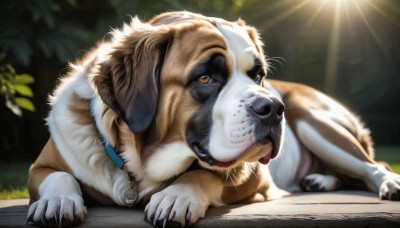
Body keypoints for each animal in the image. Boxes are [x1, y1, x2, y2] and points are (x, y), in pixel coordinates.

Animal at [26, 11, 398, 228]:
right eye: (206, 78)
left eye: (258, 75)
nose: (272, 107)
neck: (138, 164)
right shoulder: (41, 165)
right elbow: (57, 175)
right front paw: (57, 202)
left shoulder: (256, 178)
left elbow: (207, 175)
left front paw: (177, 196)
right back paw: (319, 180)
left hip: (315, 123)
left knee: (373, 165)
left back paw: (386, 183)